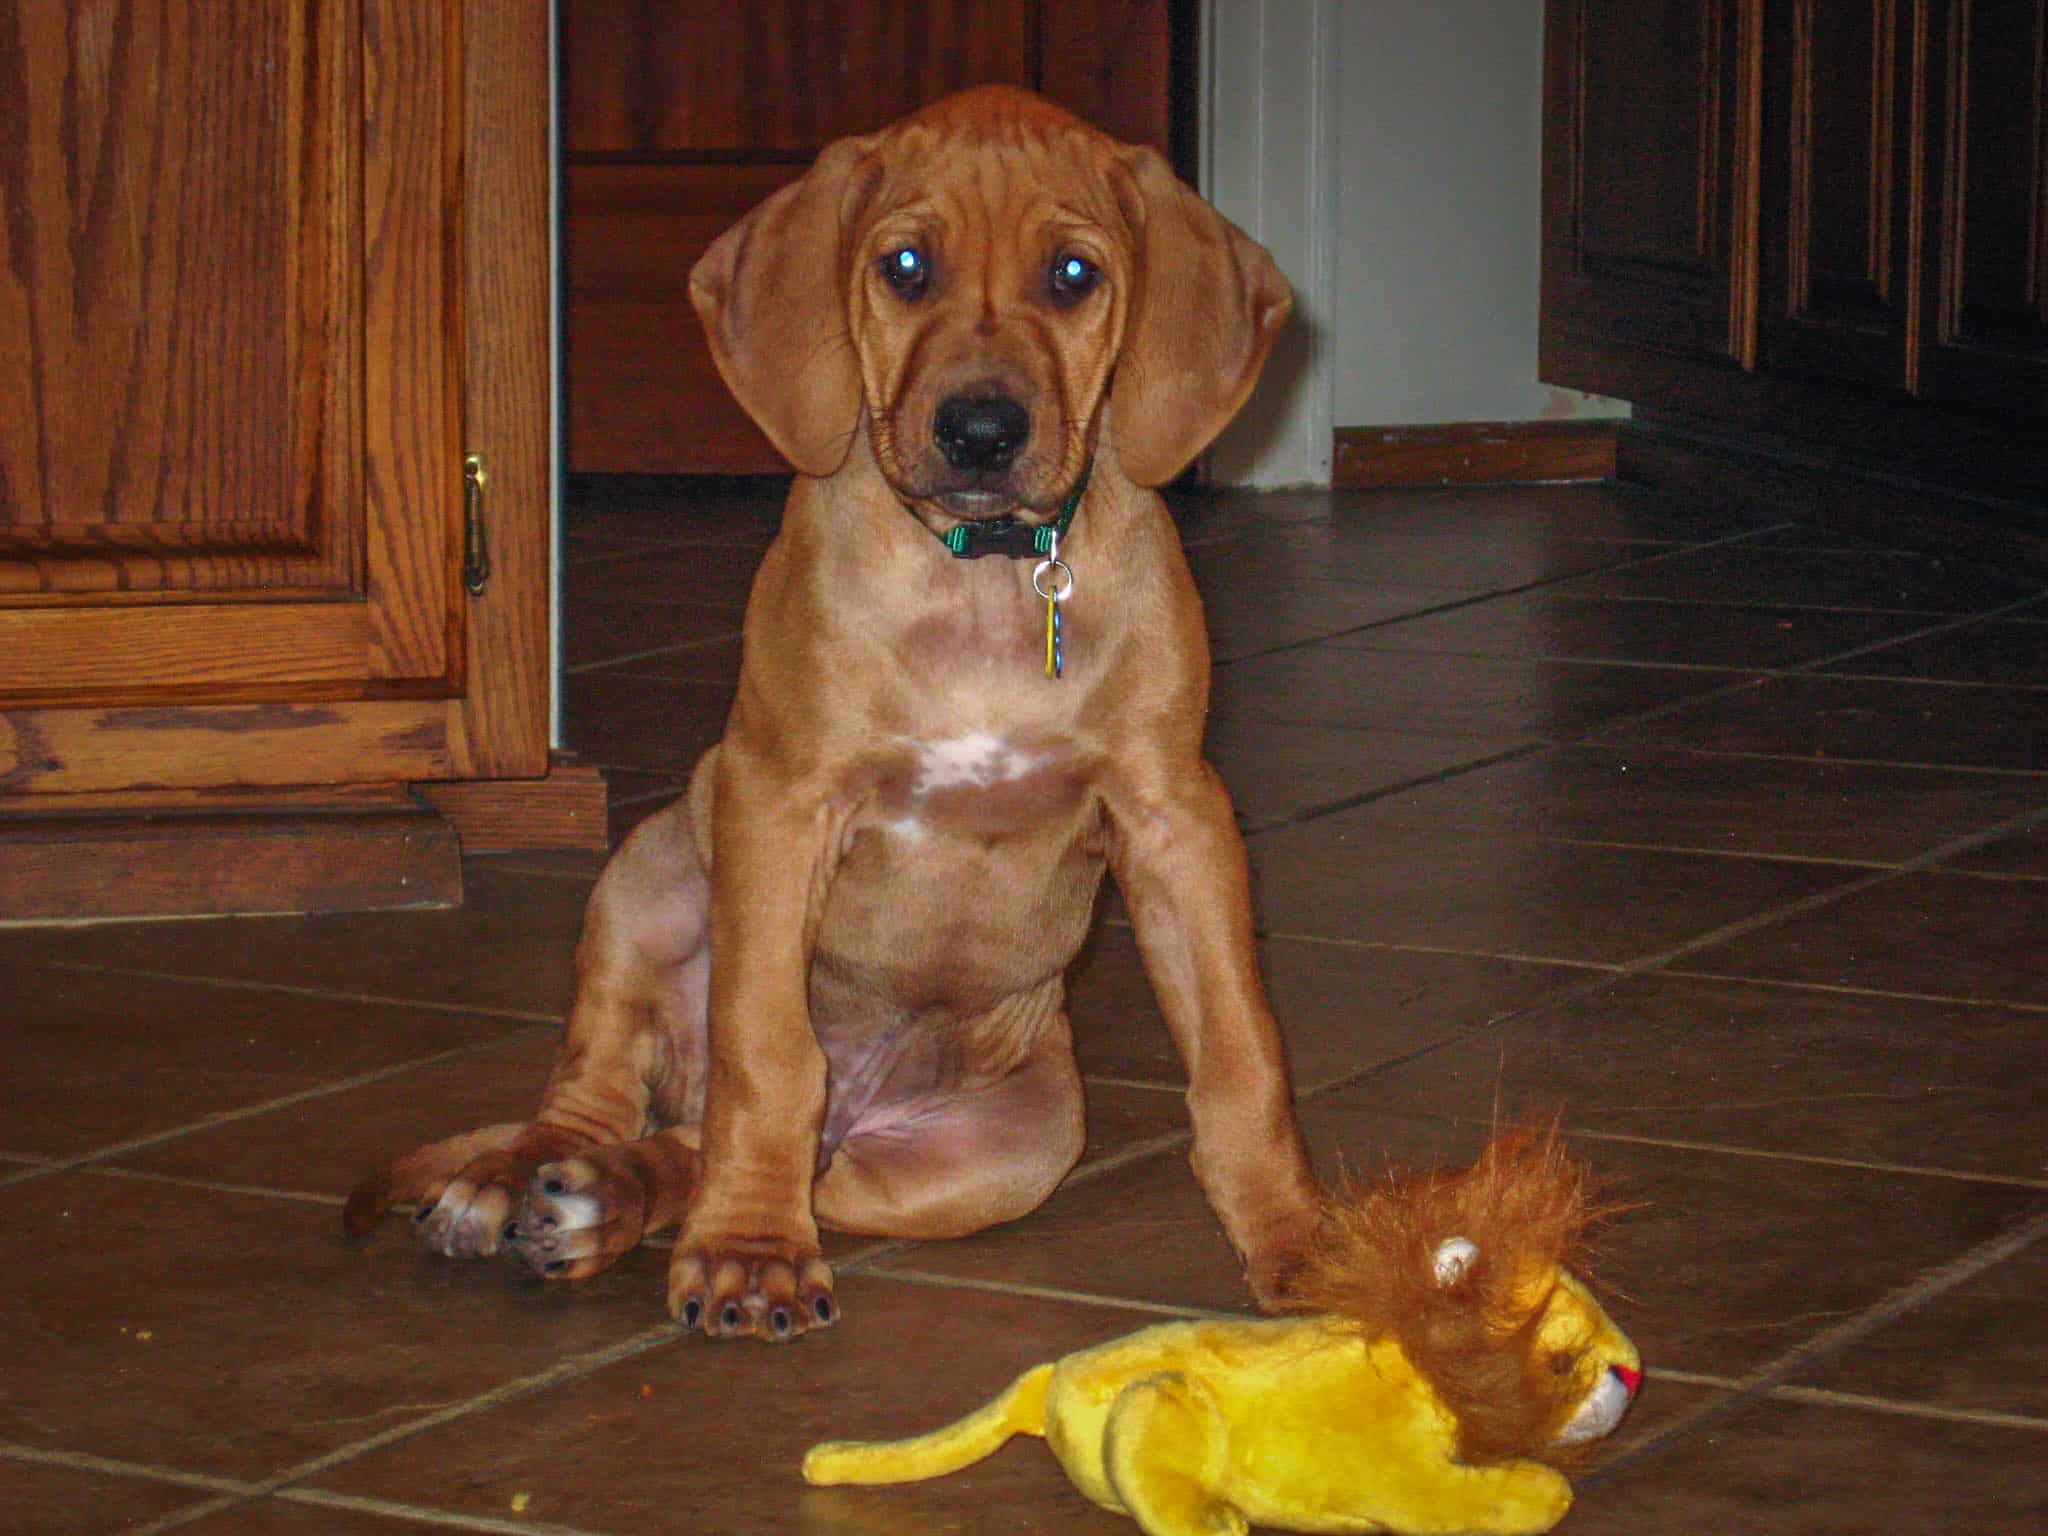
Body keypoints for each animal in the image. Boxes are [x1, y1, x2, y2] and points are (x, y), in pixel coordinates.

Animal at [344, 83, 1318, 1343]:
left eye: (1072, 275)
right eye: (904, 266)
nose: (980, 433)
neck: (981, 574)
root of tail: (864, 1107)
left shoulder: (1176, 817)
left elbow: (1243, 1055)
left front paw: (1300, 1240)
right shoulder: (779, 799)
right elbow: (766, 1051)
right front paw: (748, 1255)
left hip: (1001, 1154)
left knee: (702, 1146)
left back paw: (598, 1205)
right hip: (650, 869)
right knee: (614, 1100)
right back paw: (527, 1186)